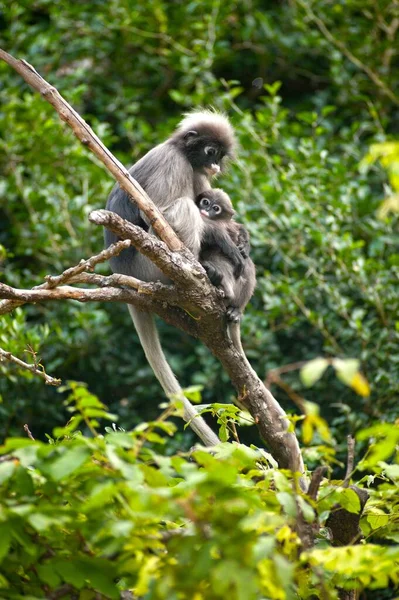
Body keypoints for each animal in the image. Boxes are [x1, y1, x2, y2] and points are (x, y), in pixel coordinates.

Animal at [104, 110, 239, 446]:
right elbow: (161, 213)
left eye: (220, 155)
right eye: (210, 151)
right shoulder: (173, 163)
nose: (215, 166)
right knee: (182, 207)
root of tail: (122, 274)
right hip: (148, 267)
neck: (181, 151)